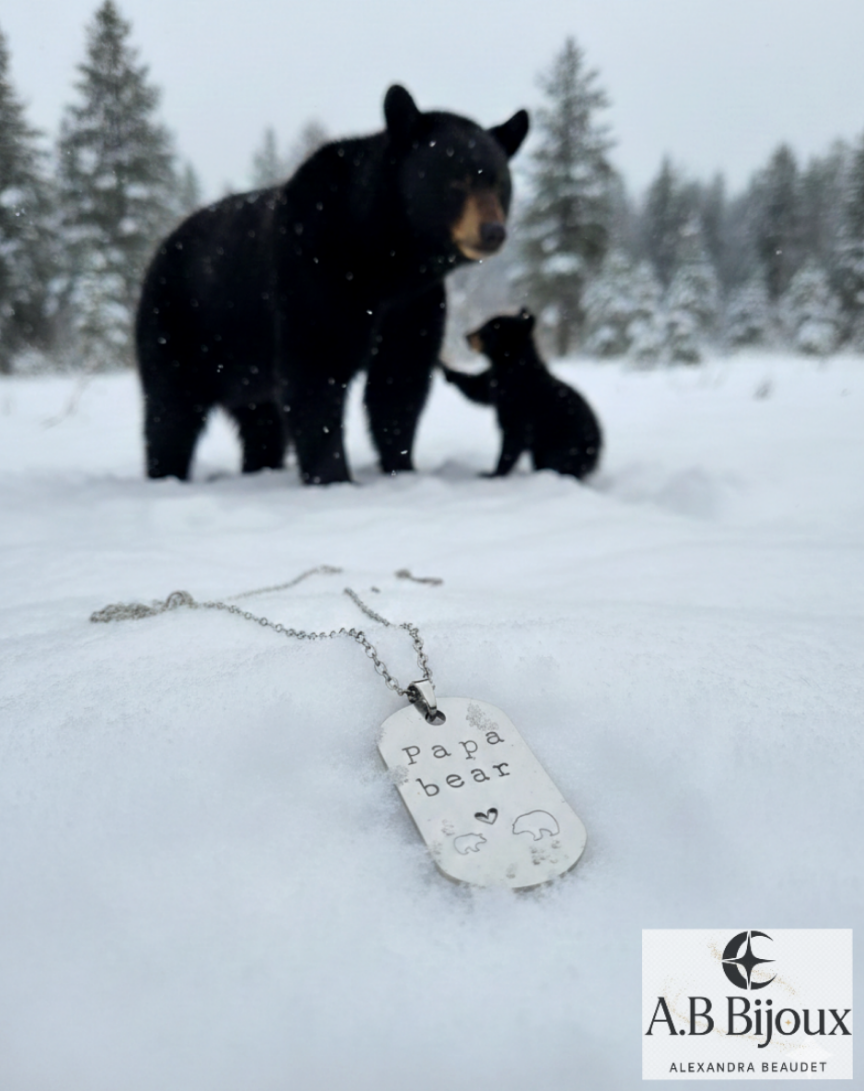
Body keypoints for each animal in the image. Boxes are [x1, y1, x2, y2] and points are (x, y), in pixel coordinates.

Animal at [136, 85, 529, 484]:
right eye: (456, 180)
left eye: (499, 182)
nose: (492, 231)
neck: (386, 258)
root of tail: (162, 247)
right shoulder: (315, 273)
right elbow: (315, 372)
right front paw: (334, 475)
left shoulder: (414, 304)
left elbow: (399, 381)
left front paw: (401, 466)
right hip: (181, 325)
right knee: (171, 413)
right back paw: (166, 473)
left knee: (260, 422)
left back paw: (259, 466)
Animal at [440, 309, 602, 479]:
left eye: (494, 326)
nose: (467, 336)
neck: (510, 365)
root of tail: (599, 445)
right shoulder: (495, 382)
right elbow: (479, 390)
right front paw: (444, 366)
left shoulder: (521, 404)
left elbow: (513, 438)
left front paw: (492, 473)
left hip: (565, 443)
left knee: (556, 461)